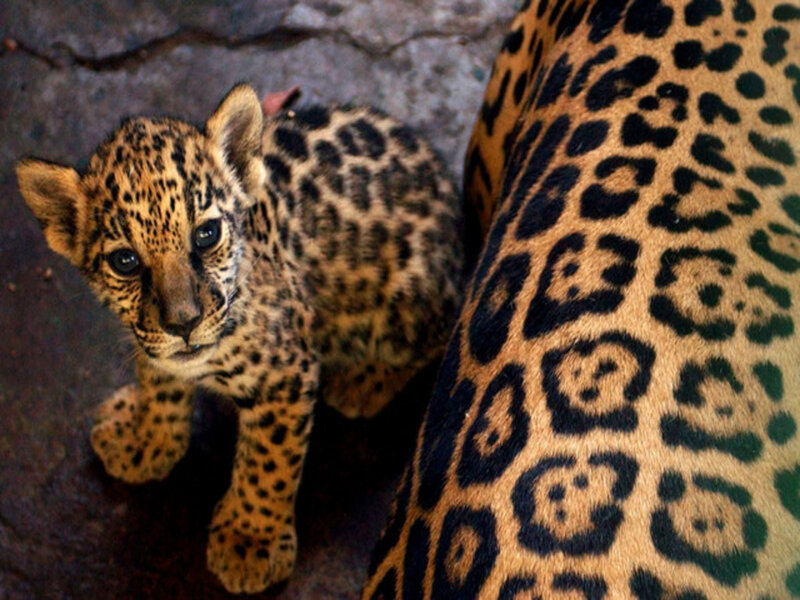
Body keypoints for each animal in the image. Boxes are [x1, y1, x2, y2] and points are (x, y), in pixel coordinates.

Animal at [15, 83, 464, 594]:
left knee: (440, 330)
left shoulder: (287, 374)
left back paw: (362, 381)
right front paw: (144, 438)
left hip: (409, 300)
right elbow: (159, 383)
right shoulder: (152, 343)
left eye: (207, 234)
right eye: (125, 261)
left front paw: (251, 542)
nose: (183, 323)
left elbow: (268, 463)